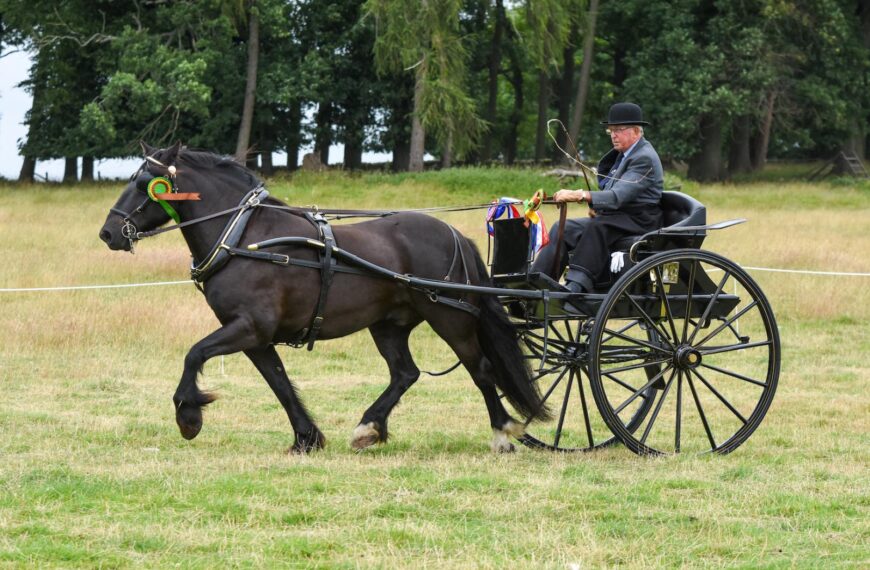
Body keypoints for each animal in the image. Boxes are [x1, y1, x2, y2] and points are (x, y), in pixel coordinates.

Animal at [99, 143, 550, 453]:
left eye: (144, 185)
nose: (108, 233)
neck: (245, 237)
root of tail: (453, 233)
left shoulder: (248, 327)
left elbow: (194, 354)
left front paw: (188, 415)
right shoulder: (256, 337)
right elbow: (279, 383)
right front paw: (306, 437)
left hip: (450, 318)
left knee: (482, 369)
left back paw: (502, 433)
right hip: (388, 325)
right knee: (405, 373)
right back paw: (369, 428)